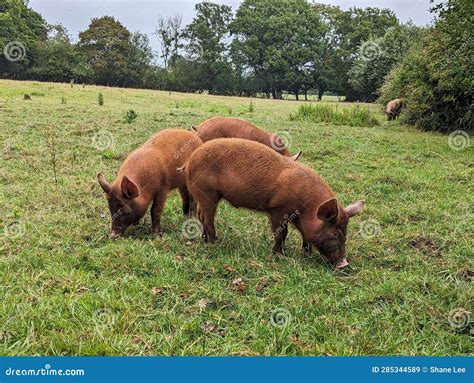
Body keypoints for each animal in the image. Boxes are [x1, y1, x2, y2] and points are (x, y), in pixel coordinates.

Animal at [181, 140, 362, 268]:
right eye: (335, 234)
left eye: (345, 234)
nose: (344, 264)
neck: (308, 206)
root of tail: (188, 161)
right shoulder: (278, 209)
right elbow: (282, 233)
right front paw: (280, 256)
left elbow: (305, 235)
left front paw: (305, 255)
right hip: (207, 192)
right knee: (207, 218)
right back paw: (214, 242)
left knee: (201, 216)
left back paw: (205, 239)